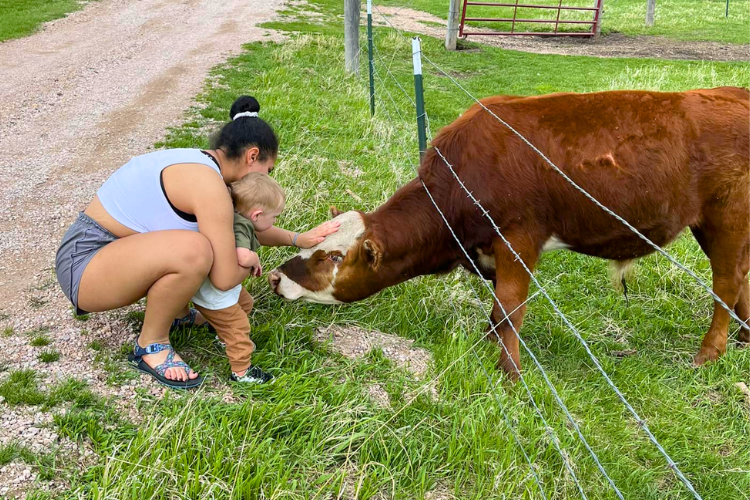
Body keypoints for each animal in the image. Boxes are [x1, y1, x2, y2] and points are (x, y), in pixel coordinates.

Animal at [268, 87, 750, 378]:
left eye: (333, 257)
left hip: (726, 216)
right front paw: (489, 345)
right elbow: (499, 307)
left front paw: (510, 372)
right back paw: (744, 338)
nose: (275, 277)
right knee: (741, 278)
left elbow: (510, 308)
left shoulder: (518, 239)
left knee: (726, 283)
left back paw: (709, 354)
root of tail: (732, 91)